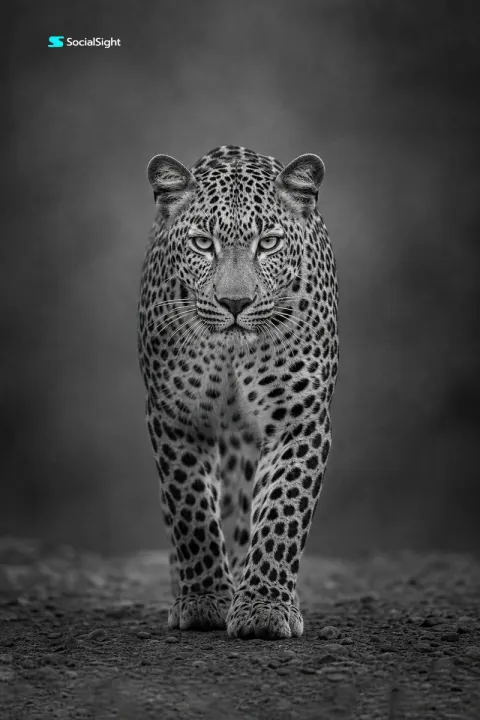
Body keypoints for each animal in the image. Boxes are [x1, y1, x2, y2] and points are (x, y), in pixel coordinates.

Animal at [137, 144, 339, 639]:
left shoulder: (299, 418)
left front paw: (264, 606)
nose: (234, 304)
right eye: (202, 244)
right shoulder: (176, 418)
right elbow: (190, 509)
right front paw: (205, 600)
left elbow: (284, 509)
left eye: (267, 243)